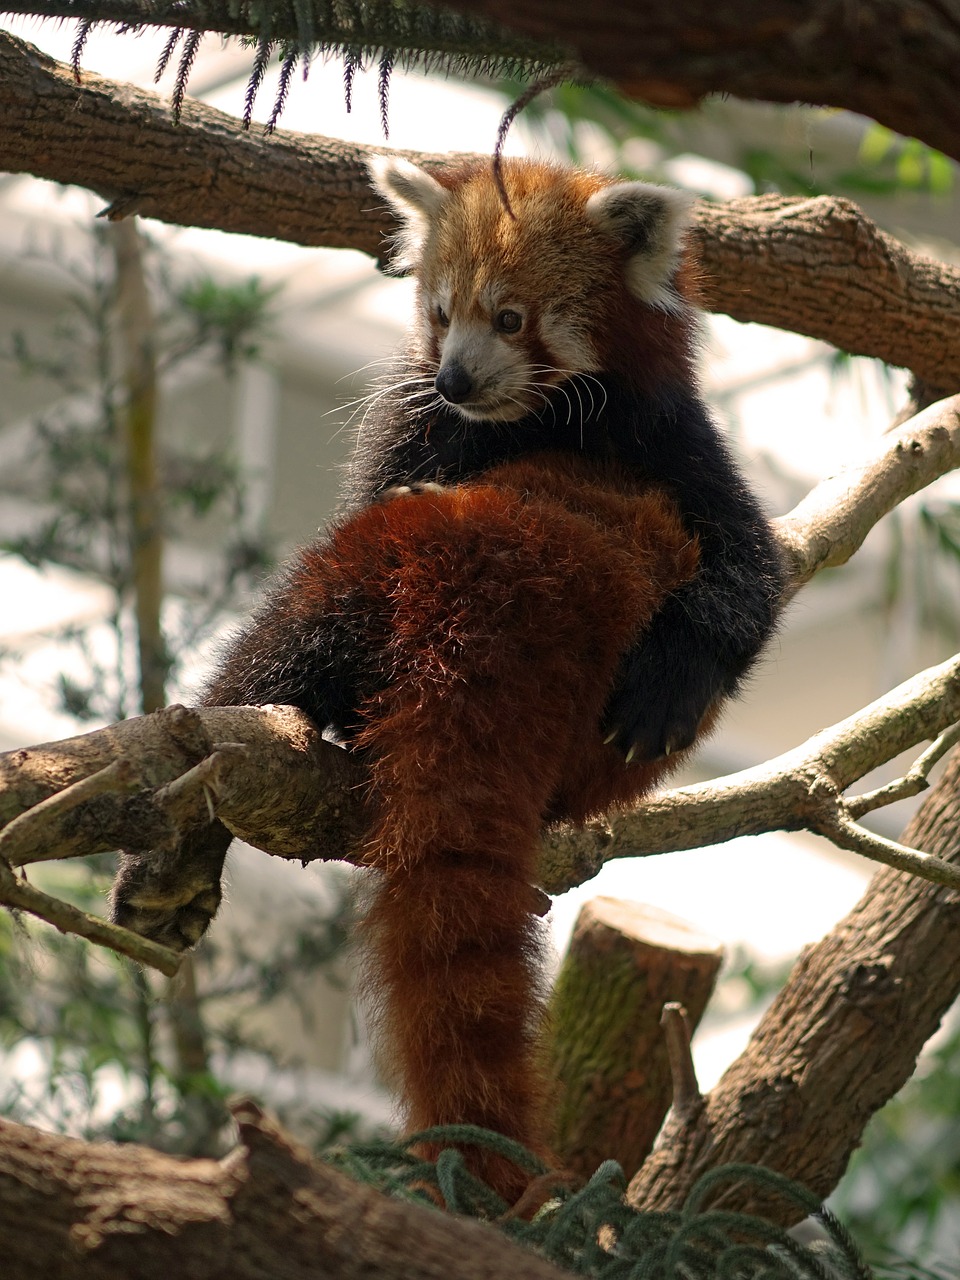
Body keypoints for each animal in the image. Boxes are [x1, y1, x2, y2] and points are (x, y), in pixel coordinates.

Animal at [116, 157, 783, 1198]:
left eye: (511, 317)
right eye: (439, 311)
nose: (455, 377)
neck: (528, 420)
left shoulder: (675, 438)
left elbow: (752, 580)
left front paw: (668, 683)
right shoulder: (409, 426)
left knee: (277, 648)